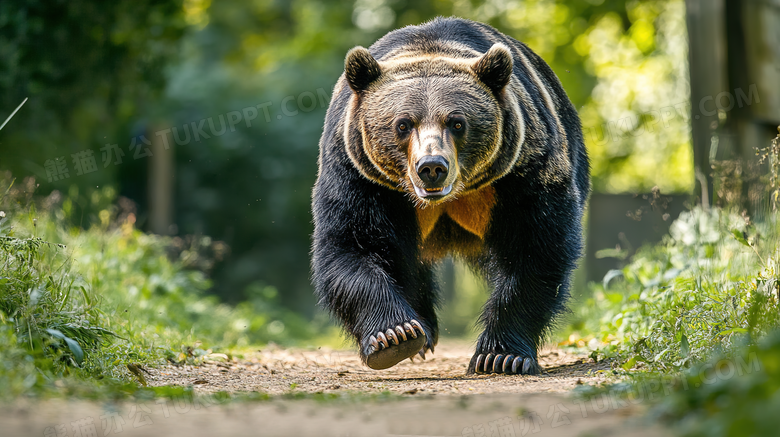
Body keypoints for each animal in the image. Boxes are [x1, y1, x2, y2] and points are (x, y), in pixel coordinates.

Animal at [314, 15, 588, 372]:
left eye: (457, 122)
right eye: (403, 124)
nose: (432, 166)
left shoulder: (522, 170)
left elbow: (535, 246)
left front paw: (500, 354)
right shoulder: (360, 174)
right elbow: (354, 244)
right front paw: (394, 335)